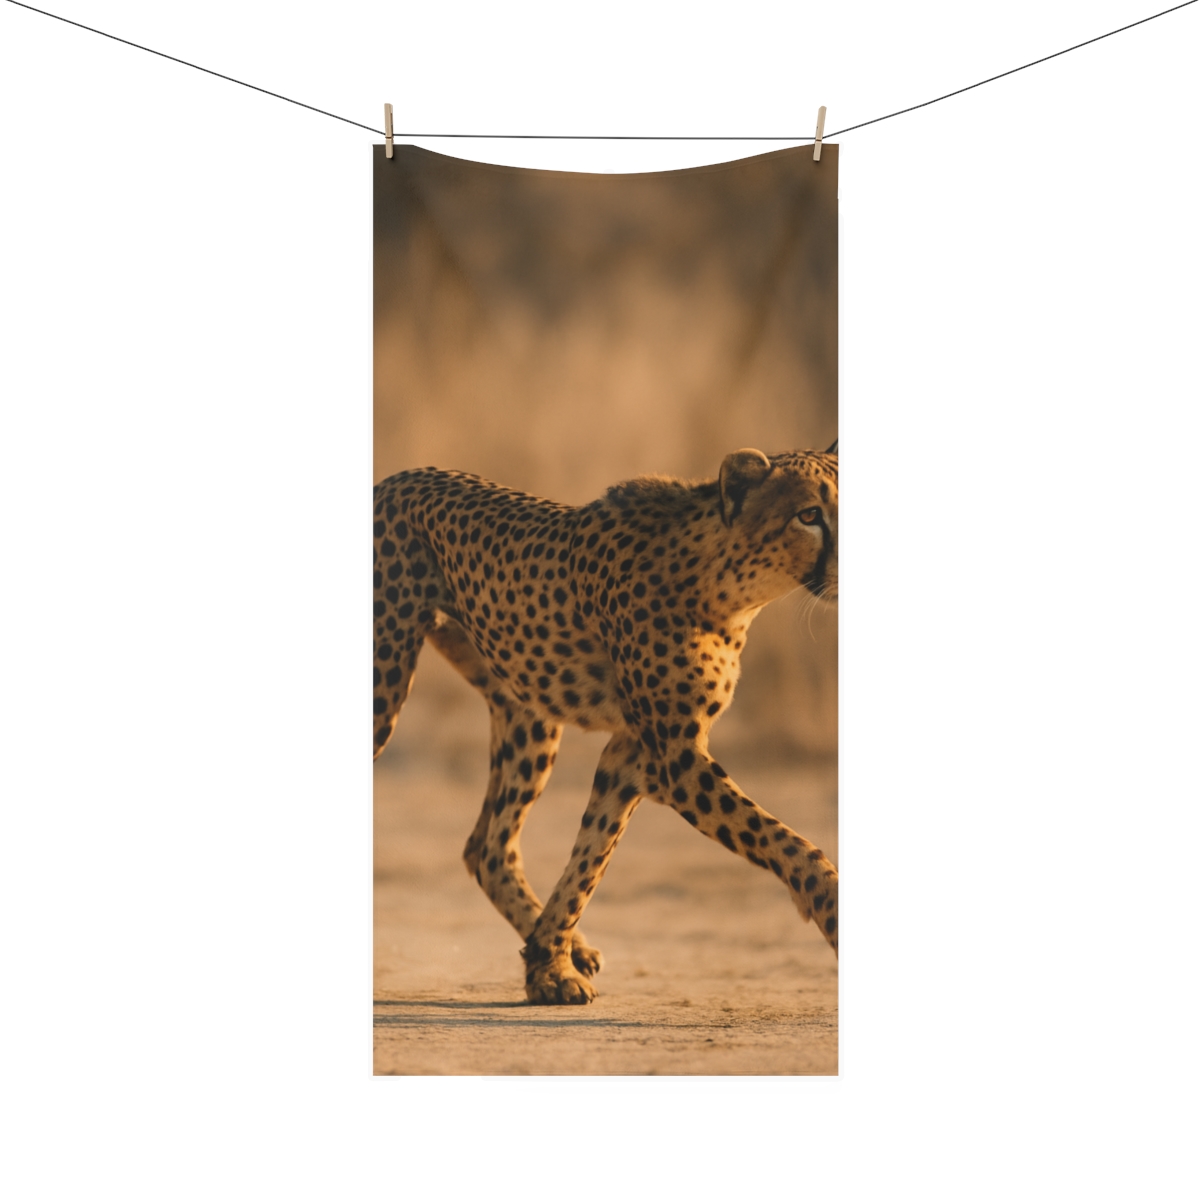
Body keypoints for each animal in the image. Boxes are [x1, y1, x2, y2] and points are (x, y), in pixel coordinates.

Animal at [373, 444, 839, 1005]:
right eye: (809, 515)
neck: (731, 583)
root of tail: (394, 478)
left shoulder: (633, 753)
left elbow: (591, 858)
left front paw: (549, 964)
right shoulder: (675, 759)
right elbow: (787, 841)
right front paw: (834, 913)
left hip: (526, 710)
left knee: (486, 846)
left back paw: (565, 944)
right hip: (384, 685)